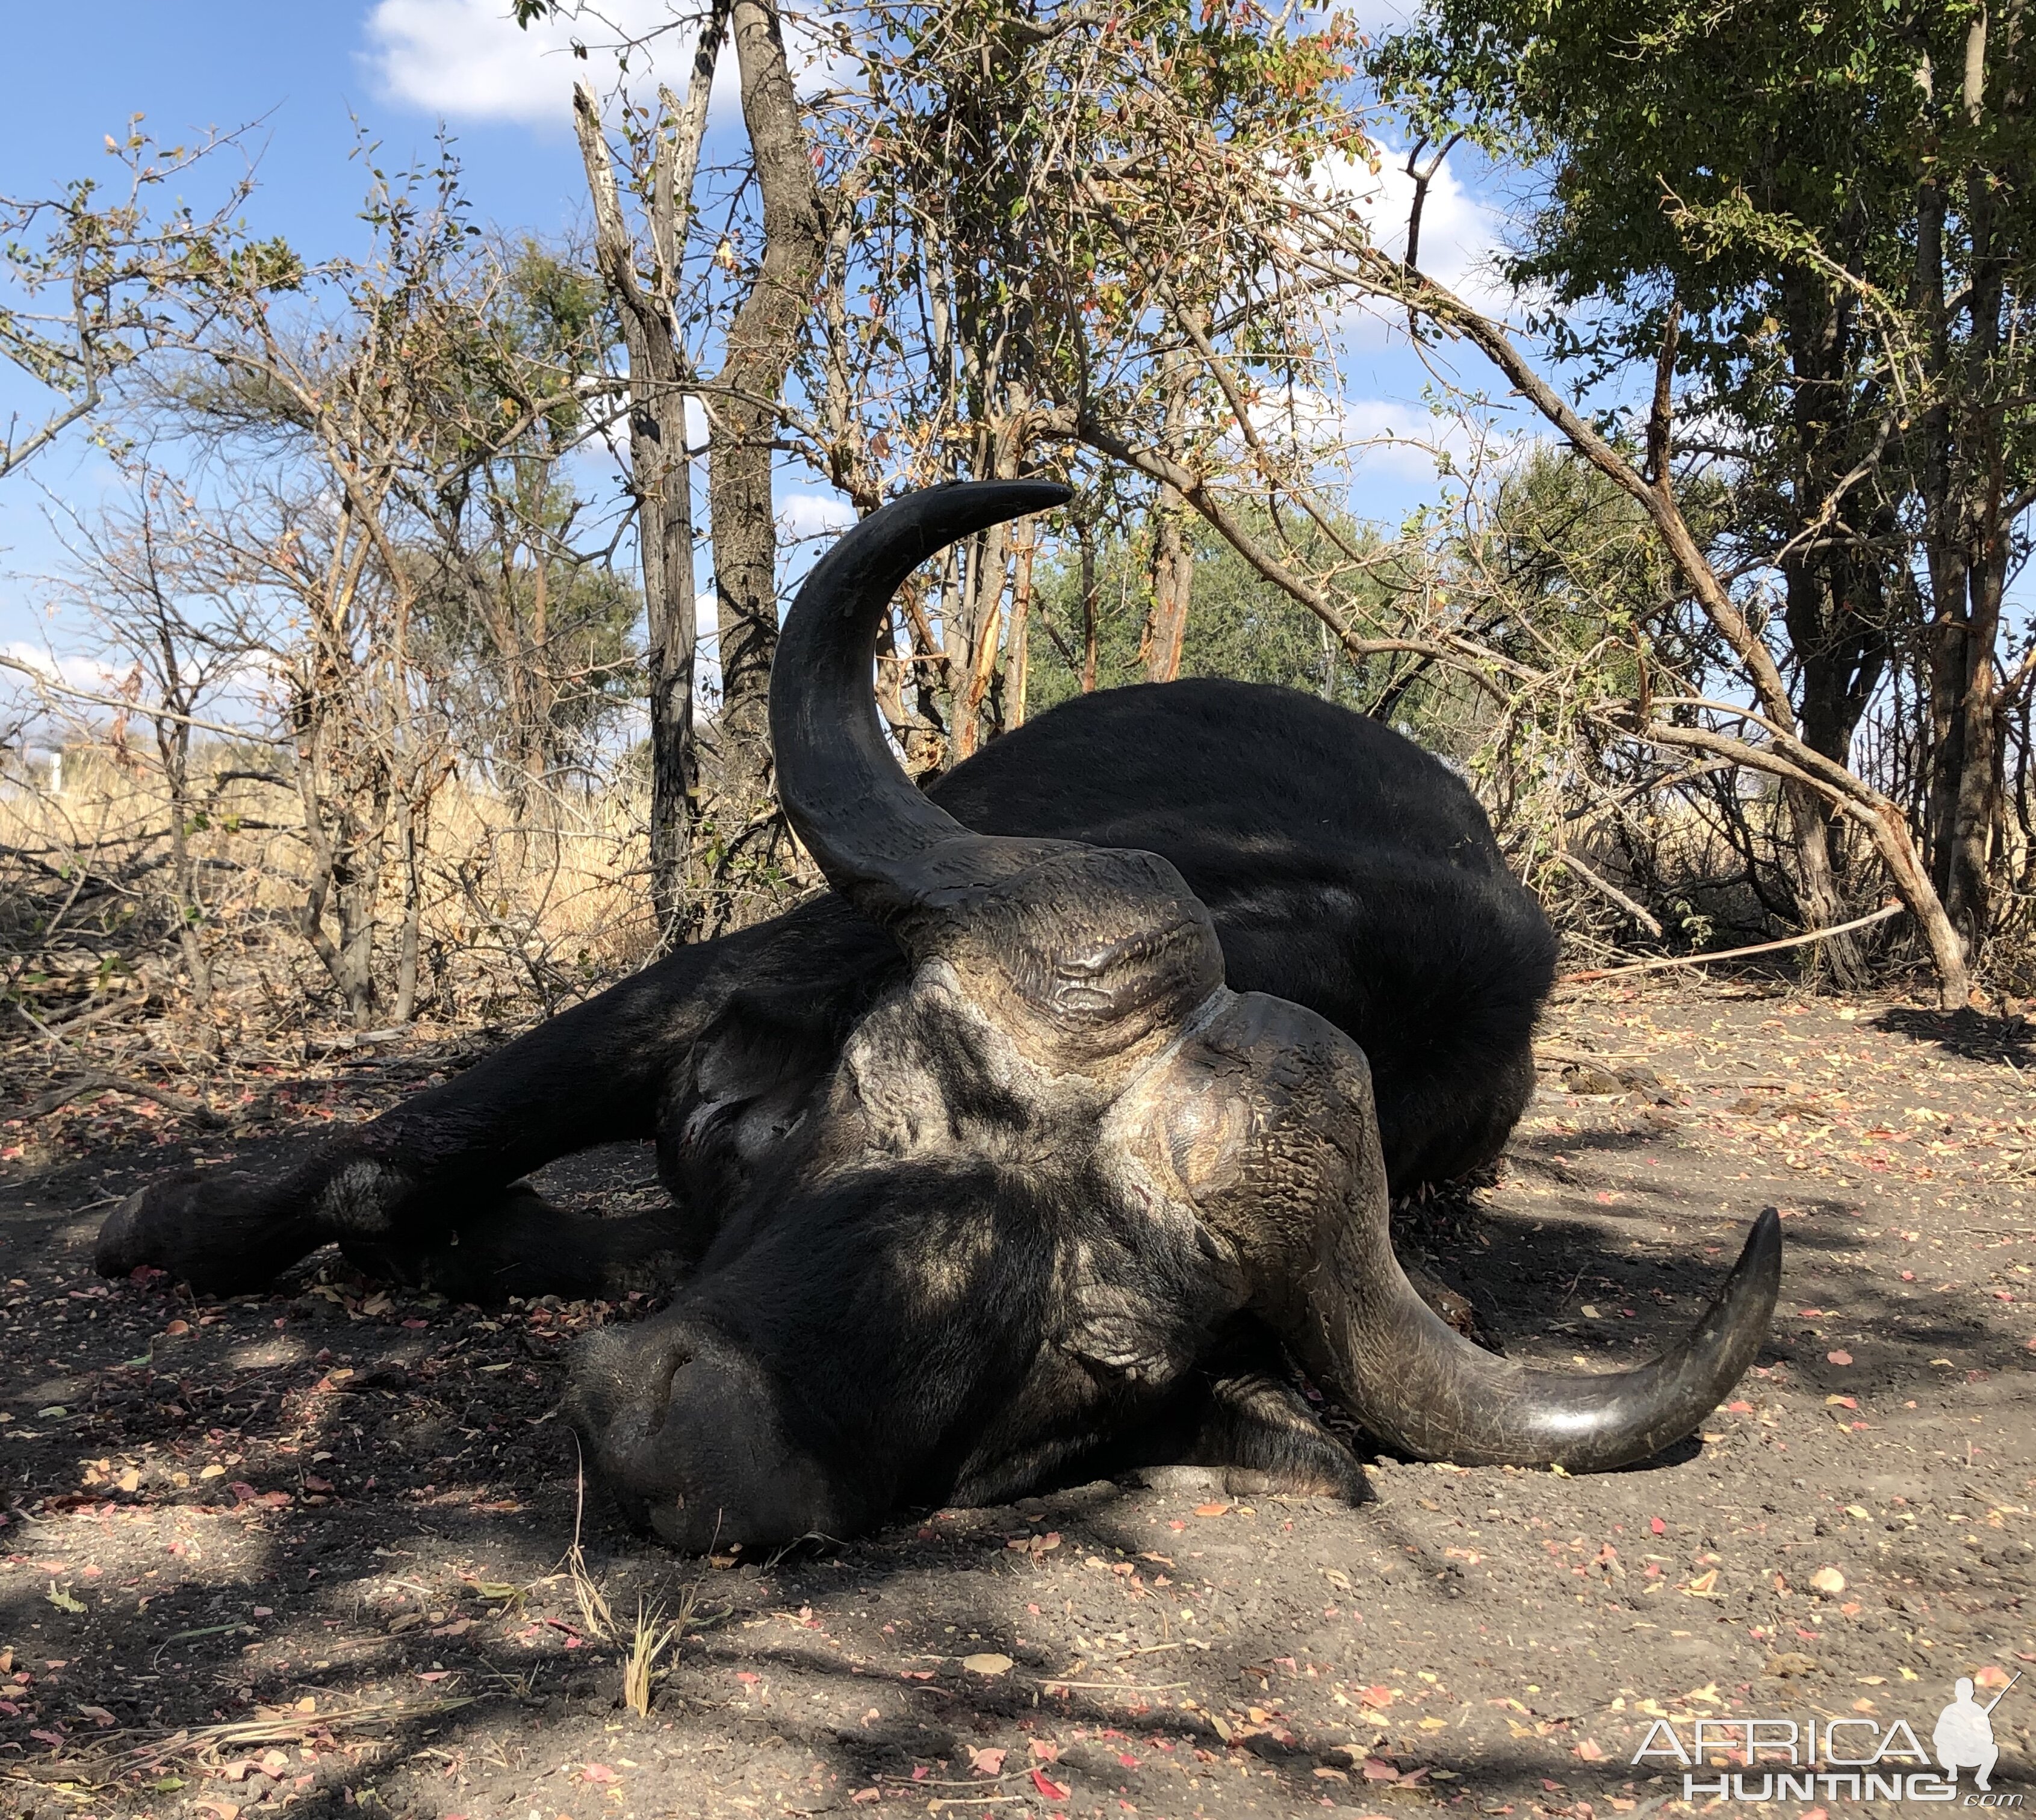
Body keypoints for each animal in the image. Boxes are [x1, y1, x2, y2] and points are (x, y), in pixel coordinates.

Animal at [99, 480, 1783, 1555]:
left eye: (1101, 1357)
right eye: (887, 1100)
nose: (666, 1447)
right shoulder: (696, 992)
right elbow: (400, 1148)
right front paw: (170, 1222)